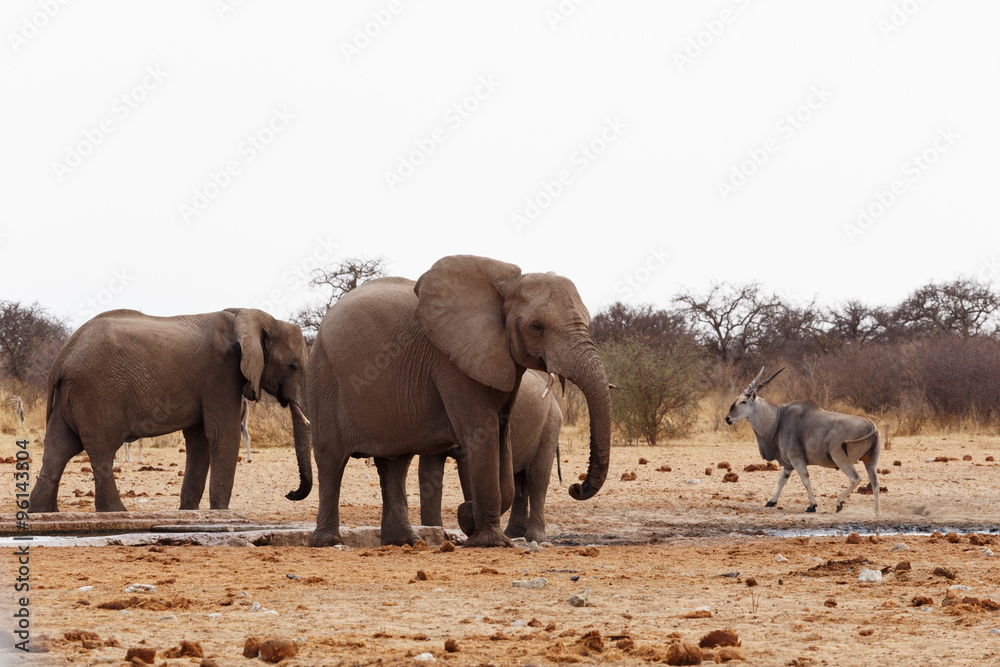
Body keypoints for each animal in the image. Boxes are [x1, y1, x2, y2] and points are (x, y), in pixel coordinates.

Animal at [28, 308, 312, 513]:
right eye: (293, 366)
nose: (290, 493)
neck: (253, 317)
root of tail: (63, 354)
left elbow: (200, 440)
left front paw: (189, 511)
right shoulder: (221, 375)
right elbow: (223, 434)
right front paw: (221, 511)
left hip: (72, 397)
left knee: (59, 449)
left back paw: (43, 512)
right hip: (96, 393)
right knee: (101, 451)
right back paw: (116, 511)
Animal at [419, 369, 562, 544]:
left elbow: (469, 471)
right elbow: (428, 470)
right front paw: (436, 536)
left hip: (549, 426)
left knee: (537, 478)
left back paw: (536, 539)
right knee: (520, 482)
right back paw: (513, 534)